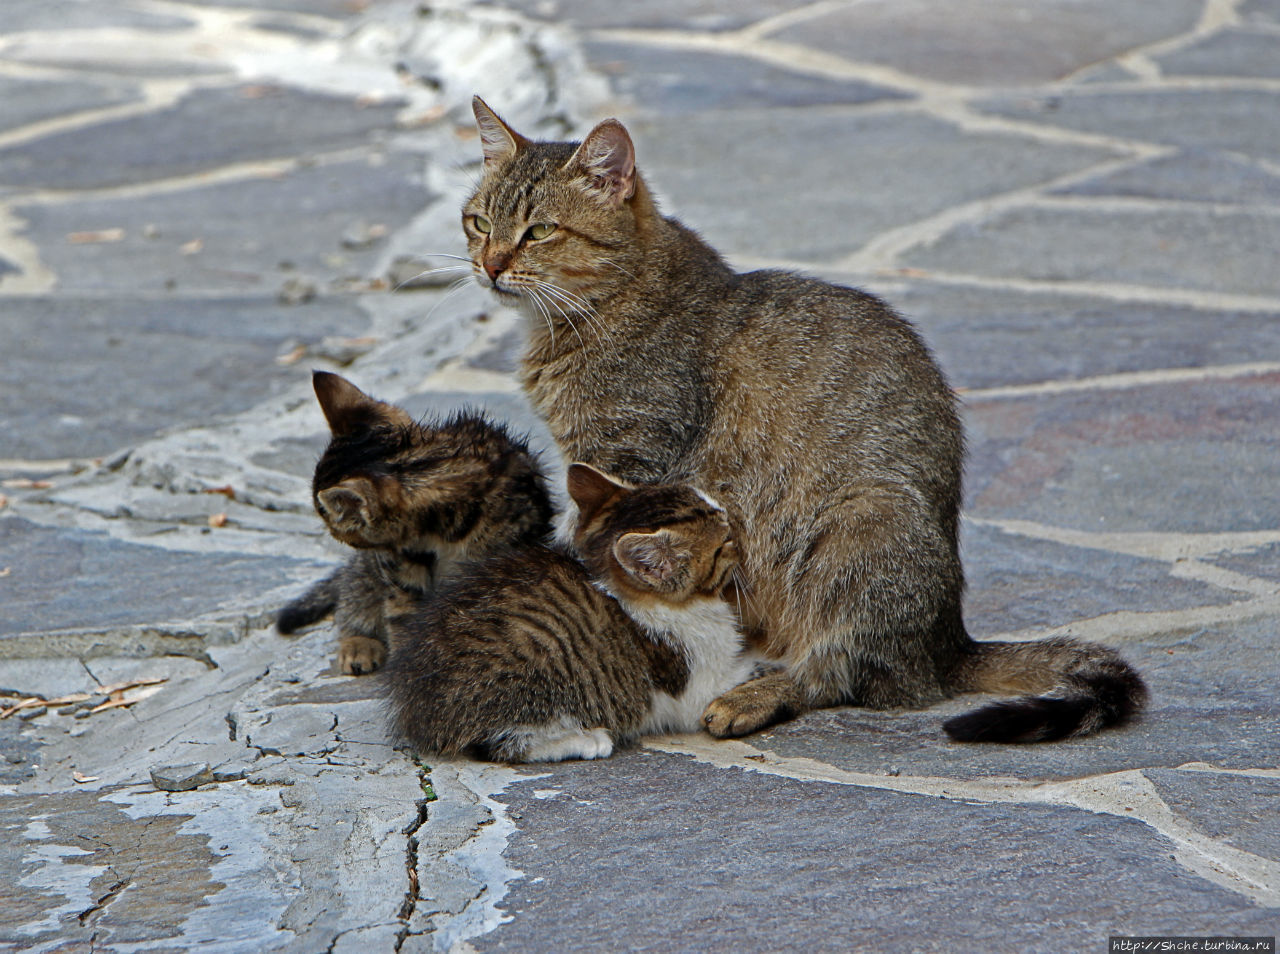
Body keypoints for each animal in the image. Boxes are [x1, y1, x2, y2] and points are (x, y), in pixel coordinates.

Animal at [275, 368, 555, 676]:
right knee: (352, 596)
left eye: (330, 521)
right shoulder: (398, 562)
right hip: (366, 571)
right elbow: (403, 613)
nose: (331, 532)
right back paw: (358, 644)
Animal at [384, 458, 752, 758]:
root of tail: (419, 709)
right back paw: (587, 740)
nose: (733, 520)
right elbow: (734, 677)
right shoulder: (692, 683)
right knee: (502, 745)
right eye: (724, 543)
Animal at [460, 96, 1152, 742]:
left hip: (860, 525)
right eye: (479, 222)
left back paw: (754, 694)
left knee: (843, 673)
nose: (490, 266)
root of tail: (949, 642)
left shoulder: (632, 455)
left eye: (539, 231)